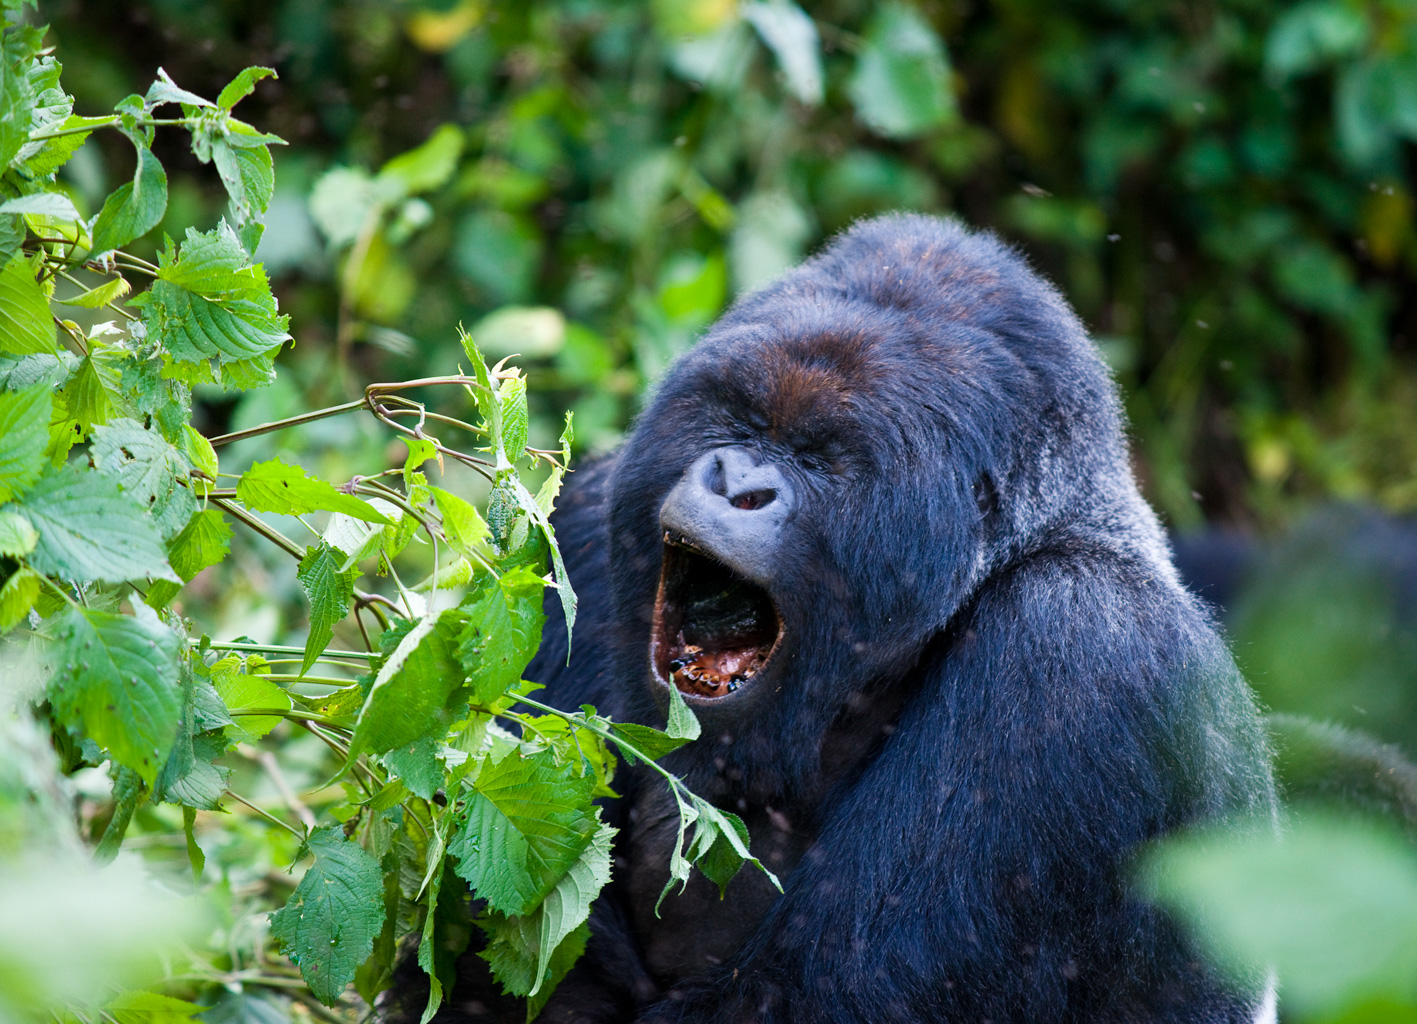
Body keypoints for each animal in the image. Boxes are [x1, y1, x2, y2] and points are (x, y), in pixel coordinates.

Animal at [396, 212, 1275, 1019]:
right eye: (738, 420)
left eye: (822, 458)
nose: (737, 484)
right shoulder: (574, 525)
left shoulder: (1079, 645)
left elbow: (799, 995)